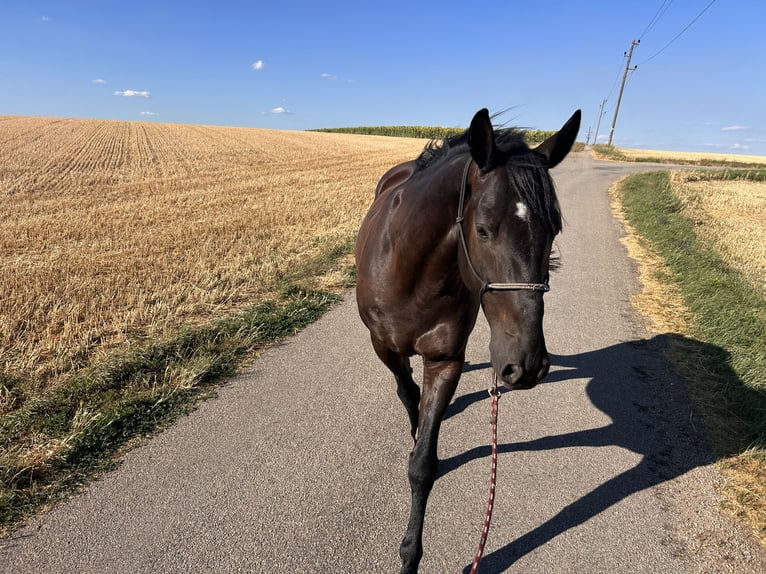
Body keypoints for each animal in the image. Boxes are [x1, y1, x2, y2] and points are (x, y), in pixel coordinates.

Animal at [354, 107, 581, 573]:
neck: (409, 272)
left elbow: (423, 465)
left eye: (553, 230)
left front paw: (410, 555)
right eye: (483, 229)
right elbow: (406, 392)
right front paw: (413, 423)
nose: (527, 364)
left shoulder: (445, 361)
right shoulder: (384, 347)